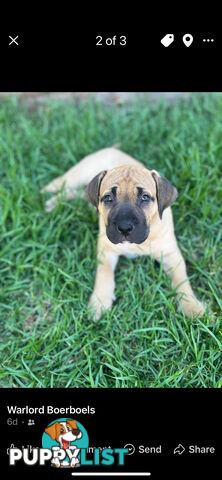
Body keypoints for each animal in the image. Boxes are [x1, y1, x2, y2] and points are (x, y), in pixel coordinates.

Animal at [41, 146, 205, 318]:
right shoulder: (106, 251)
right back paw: (49, 198)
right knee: (62, 183)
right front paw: (100, 302)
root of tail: (112, 148)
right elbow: (104, 274)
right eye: (108, 198)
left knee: (77, 193)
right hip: (79, 173)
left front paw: (191, 306)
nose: (125, 227)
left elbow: (182, 279)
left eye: (145, 197)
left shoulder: (171, 254)